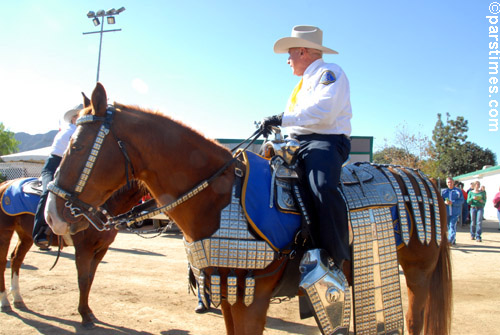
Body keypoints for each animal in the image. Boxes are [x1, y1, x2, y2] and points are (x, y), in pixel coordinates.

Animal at [0, 177, 146, 330]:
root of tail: (5, 184)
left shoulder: (101, 250)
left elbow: (90, 279)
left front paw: (88, 311)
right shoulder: (83, 250)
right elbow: (83, 280)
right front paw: (85, 316)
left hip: (26, 236)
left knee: (16, 259)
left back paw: (17, 298)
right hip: (5, 232)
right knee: (3, 263)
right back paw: (5, 302)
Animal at [45, 82, 452, 335]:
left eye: (76, 147)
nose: (52, 215)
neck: (217, 197)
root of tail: (425, 180)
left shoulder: (253, 300)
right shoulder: (230, 295)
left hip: (416, 273)